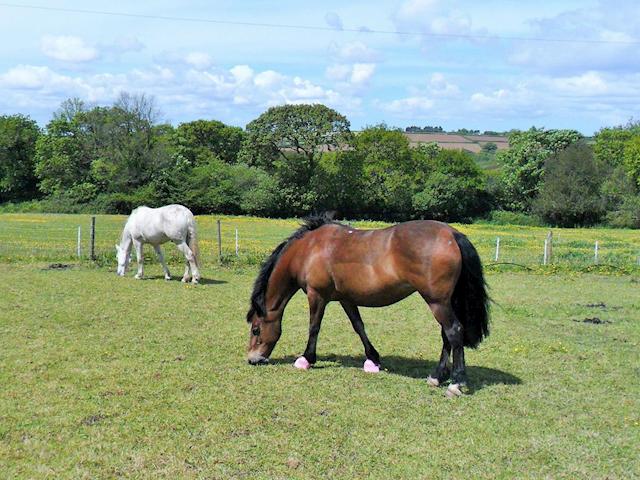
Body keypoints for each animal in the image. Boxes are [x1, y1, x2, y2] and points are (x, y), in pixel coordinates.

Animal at [246, 214, 490, 398]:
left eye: (256, 330)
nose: (252, 359)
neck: (310, 249)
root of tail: (452, 234)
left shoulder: (317, 296)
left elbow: (314, 327)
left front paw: (306, 359)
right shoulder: (346, 299)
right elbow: (359, 326)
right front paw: (373, 359)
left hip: (437, 302)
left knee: (454, 331)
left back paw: (455, 383)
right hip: (443, 302)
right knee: (446, 336)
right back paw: (437, 377)